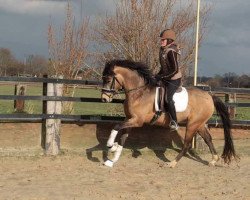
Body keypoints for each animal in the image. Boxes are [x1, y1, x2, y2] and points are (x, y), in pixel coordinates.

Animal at [100, 59, 237, 167]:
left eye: (108, 79)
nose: (104, 99)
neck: (139, 93)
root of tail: (209, 96)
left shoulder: (137, 121)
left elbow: (116, 127)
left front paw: (111, 145)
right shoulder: (130, 119)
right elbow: (123, 137)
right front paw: (113, 159)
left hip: (192, 124)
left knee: (187, 144)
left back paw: (172, 163)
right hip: (200, 123)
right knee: (208, 139)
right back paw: (214, 160)